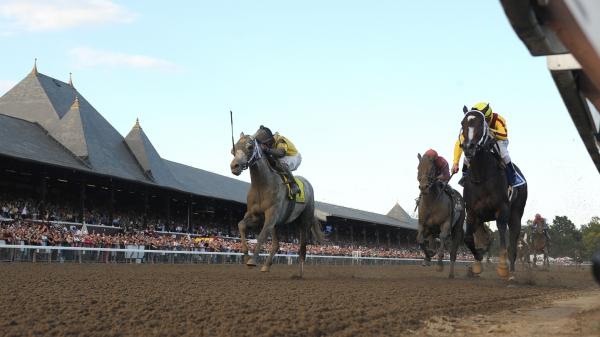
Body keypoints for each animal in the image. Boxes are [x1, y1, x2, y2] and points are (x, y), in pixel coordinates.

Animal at [230, 131, 324, 272]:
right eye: (234, 148)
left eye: (250, 147)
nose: (234, 166)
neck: (262, 185)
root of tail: (307, 183)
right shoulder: (255, 215)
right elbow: (241, 225)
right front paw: (246, 256)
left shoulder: (271, 214)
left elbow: (262, 235)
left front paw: (252, 260)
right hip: (278, 223)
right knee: (276, 244)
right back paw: (266, 265)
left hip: (305, 220)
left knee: (303, 246)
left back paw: (299, 272)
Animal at [460, 109, 524, 280]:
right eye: (462, 123)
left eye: (481, 124)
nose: (468, 147)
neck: (481, 177)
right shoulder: (472, 211)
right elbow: (469, 237)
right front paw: (477, 262)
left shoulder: (502, 209)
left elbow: (502, 233)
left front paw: (502, 267)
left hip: (516, 214)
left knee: (513, 243)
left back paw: (512, 273)